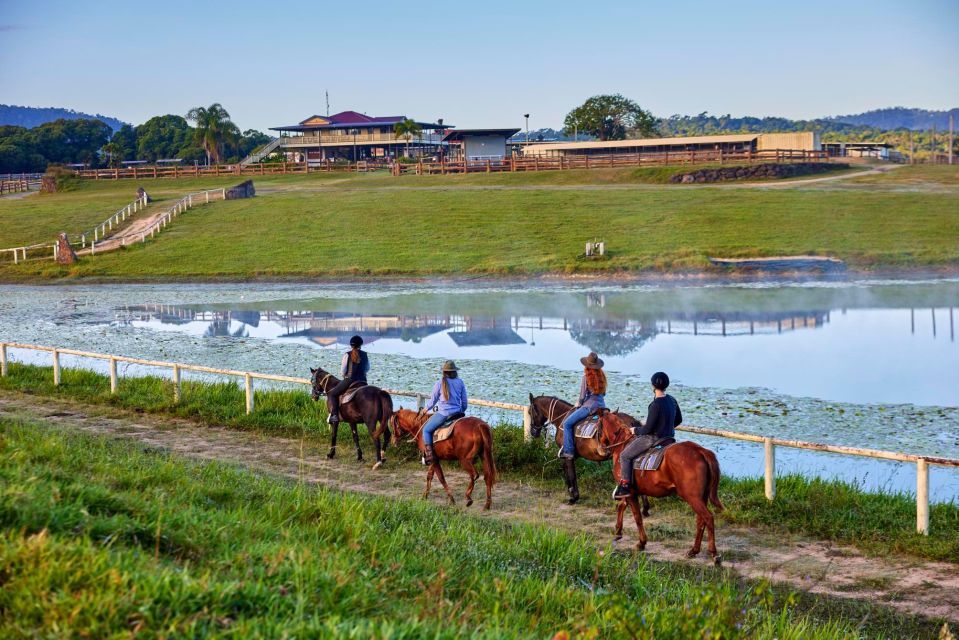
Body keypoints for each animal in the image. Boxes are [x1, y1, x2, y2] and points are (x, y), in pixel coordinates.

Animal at [524, 392, 652, 512]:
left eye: (530, 412)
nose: (533, 432)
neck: (562, 418)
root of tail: (633, 422)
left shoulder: (567, 456)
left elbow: (570, 476)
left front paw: (573, 497)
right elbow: (571, 475)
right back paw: (645, 508)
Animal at [596, 412, 724, 564]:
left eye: (597, 426)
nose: (600, 450)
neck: (623, 444)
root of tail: (701, 451)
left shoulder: (630, 492)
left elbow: (637, 517)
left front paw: (641, 543)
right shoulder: (628, 492)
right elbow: (621, 507)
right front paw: (618, 532)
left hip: (693, 498)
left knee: (708, 518)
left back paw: (714, 553)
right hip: (701, 497)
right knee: (701, 521)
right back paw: (693, 551)